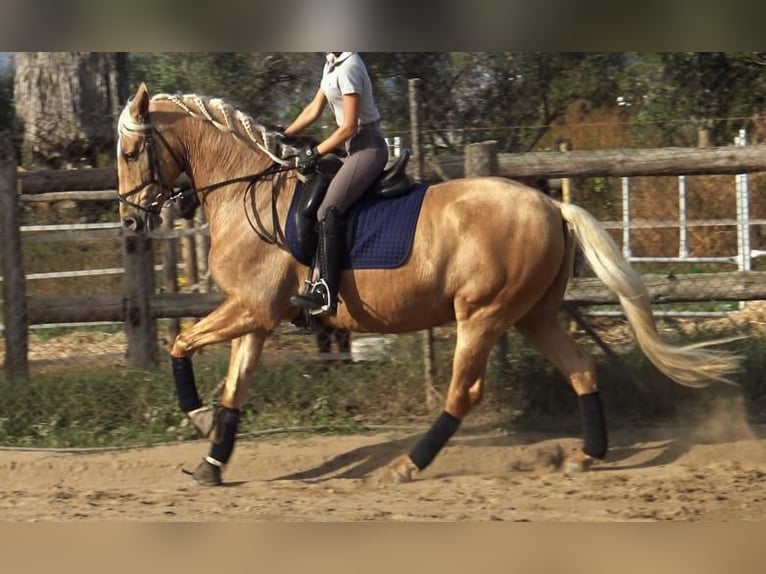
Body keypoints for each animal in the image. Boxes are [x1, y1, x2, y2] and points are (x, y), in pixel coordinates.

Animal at [115, 82, 744, 486]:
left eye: (131, 150)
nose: (130, 221)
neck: (247, 190)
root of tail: (550, 205)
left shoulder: (251, 309)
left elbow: (181, 345)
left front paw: (196, 420)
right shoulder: (256, 315)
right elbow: (233, 390)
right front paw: (211, 461)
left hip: (482, 316)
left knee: (463, 393)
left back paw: (408, 465)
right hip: (533, 315)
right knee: (583, 370)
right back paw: (586, 457)